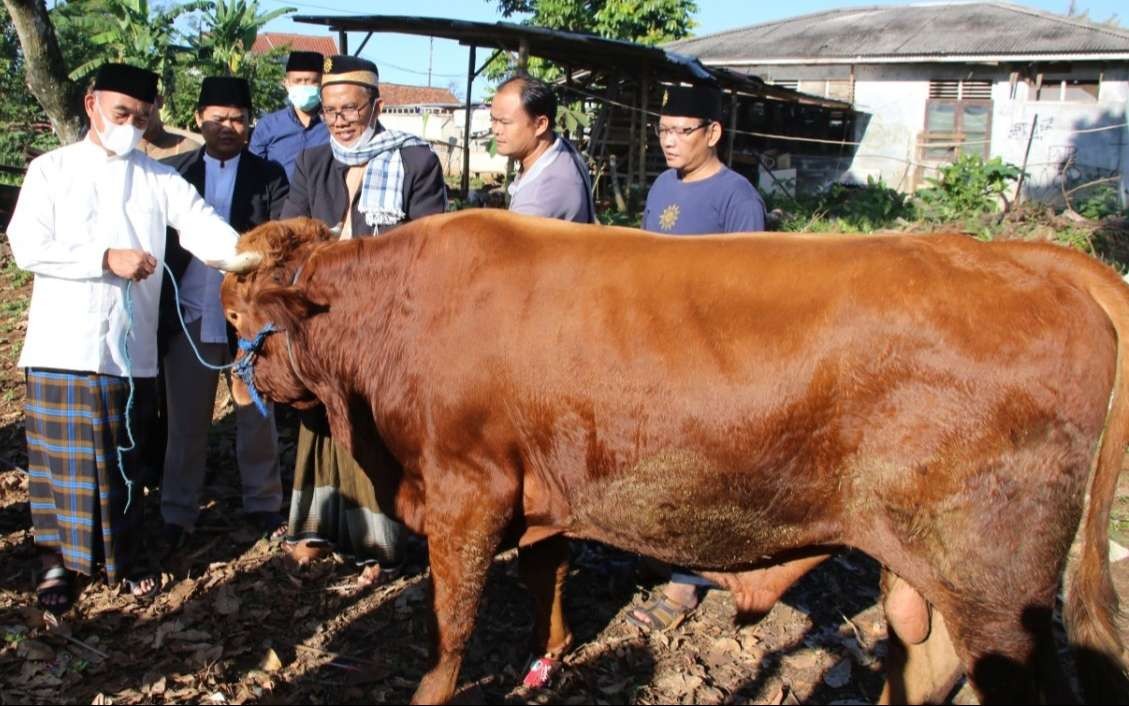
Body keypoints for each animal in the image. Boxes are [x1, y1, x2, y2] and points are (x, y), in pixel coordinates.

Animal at [217, 212, 1129, 700]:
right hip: (929, 572)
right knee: (928, 662)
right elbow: (545, 576)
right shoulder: (541, 493)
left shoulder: (464, 493)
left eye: (235, 315)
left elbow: (451, 626)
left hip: (996, 587)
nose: (231, 373)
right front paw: (549, 658)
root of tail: (1009, 253)